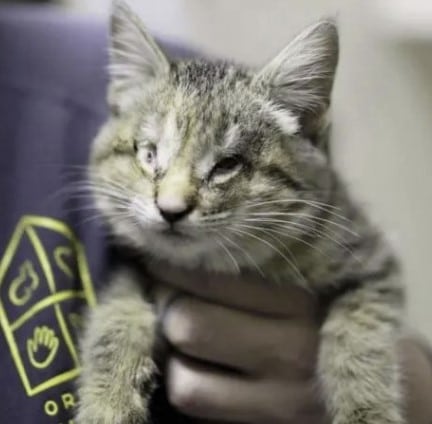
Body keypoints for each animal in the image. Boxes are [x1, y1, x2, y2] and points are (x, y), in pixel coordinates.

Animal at [77, 1, 404, 422]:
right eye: (149, 155)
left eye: (227, 165)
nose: (170, 209)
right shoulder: (133, 265)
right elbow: (116, 313)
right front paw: (108, 399)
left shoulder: (372, 260)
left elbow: (360, 335)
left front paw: (367, 411)